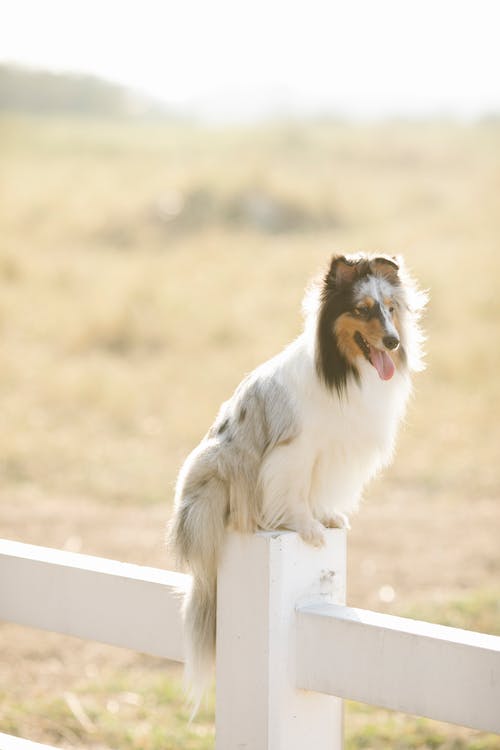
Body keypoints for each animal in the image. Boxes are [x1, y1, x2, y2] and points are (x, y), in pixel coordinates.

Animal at [168, 253, 426, 704]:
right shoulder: (296, 452)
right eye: (362, 310)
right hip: (220, 468)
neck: (345, 371)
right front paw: (307, 528)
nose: (394, 342)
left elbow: (319, 491)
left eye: (391, 308)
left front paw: (328, 518)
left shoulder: (333, 451)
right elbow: (296, 492)